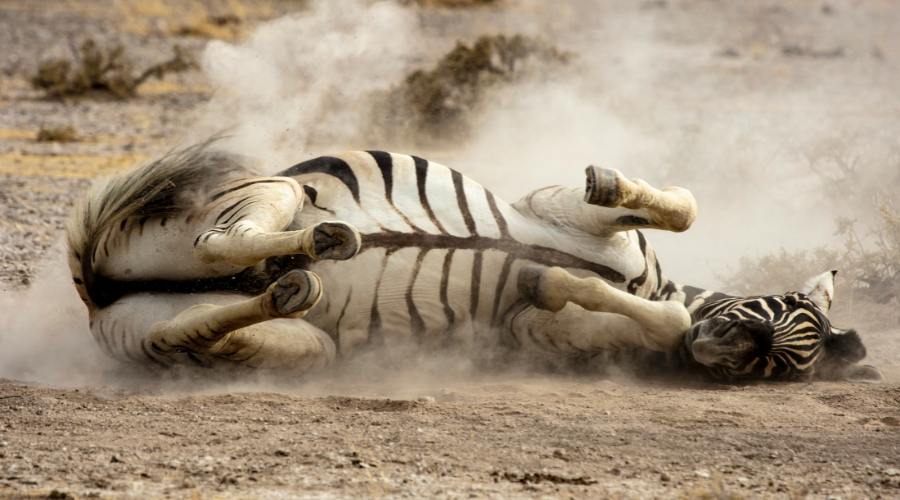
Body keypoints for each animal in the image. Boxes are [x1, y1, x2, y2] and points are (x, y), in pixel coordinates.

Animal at [67, 143, 884, 380]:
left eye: (773, 367)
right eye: (778, 308)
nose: (727, 347)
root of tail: (94, 289)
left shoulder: (534, 333)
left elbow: (644, 316)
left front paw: (548, 278)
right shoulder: (559, 208)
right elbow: (678, 208)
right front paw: (609, 187)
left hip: (244, 340)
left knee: (221, 314)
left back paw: (296, 279)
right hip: (271, 191)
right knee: (223, 239)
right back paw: (324, 243)